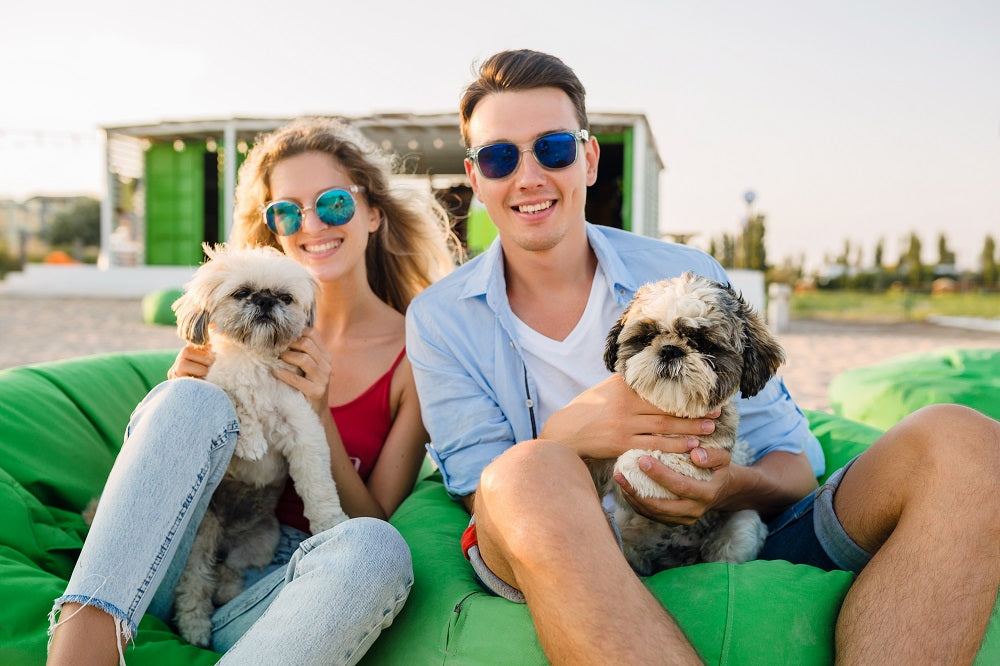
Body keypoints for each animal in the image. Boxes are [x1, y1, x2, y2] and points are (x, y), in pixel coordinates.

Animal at [169, 243, 348, 644]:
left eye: (286, 297)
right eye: (242, 293)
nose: (265, 301)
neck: (256, 359)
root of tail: (227, 537)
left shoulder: (303, 432)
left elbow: (318, 486)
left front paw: (331, 523)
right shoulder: (216, 379)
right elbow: (234, 399)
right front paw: (250, 441)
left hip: (259, 543)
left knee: (229, 570)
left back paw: (227, 588)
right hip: (200, 538)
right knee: (195, 583)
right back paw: (194, 626)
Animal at [596, 270, 784, 576]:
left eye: (703, 343)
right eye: (647, 337)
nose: (670, 350)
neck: (671, 409)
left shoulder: (704, 454)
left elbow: (655, 458)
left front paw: (633, 462)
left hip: (742, 522)